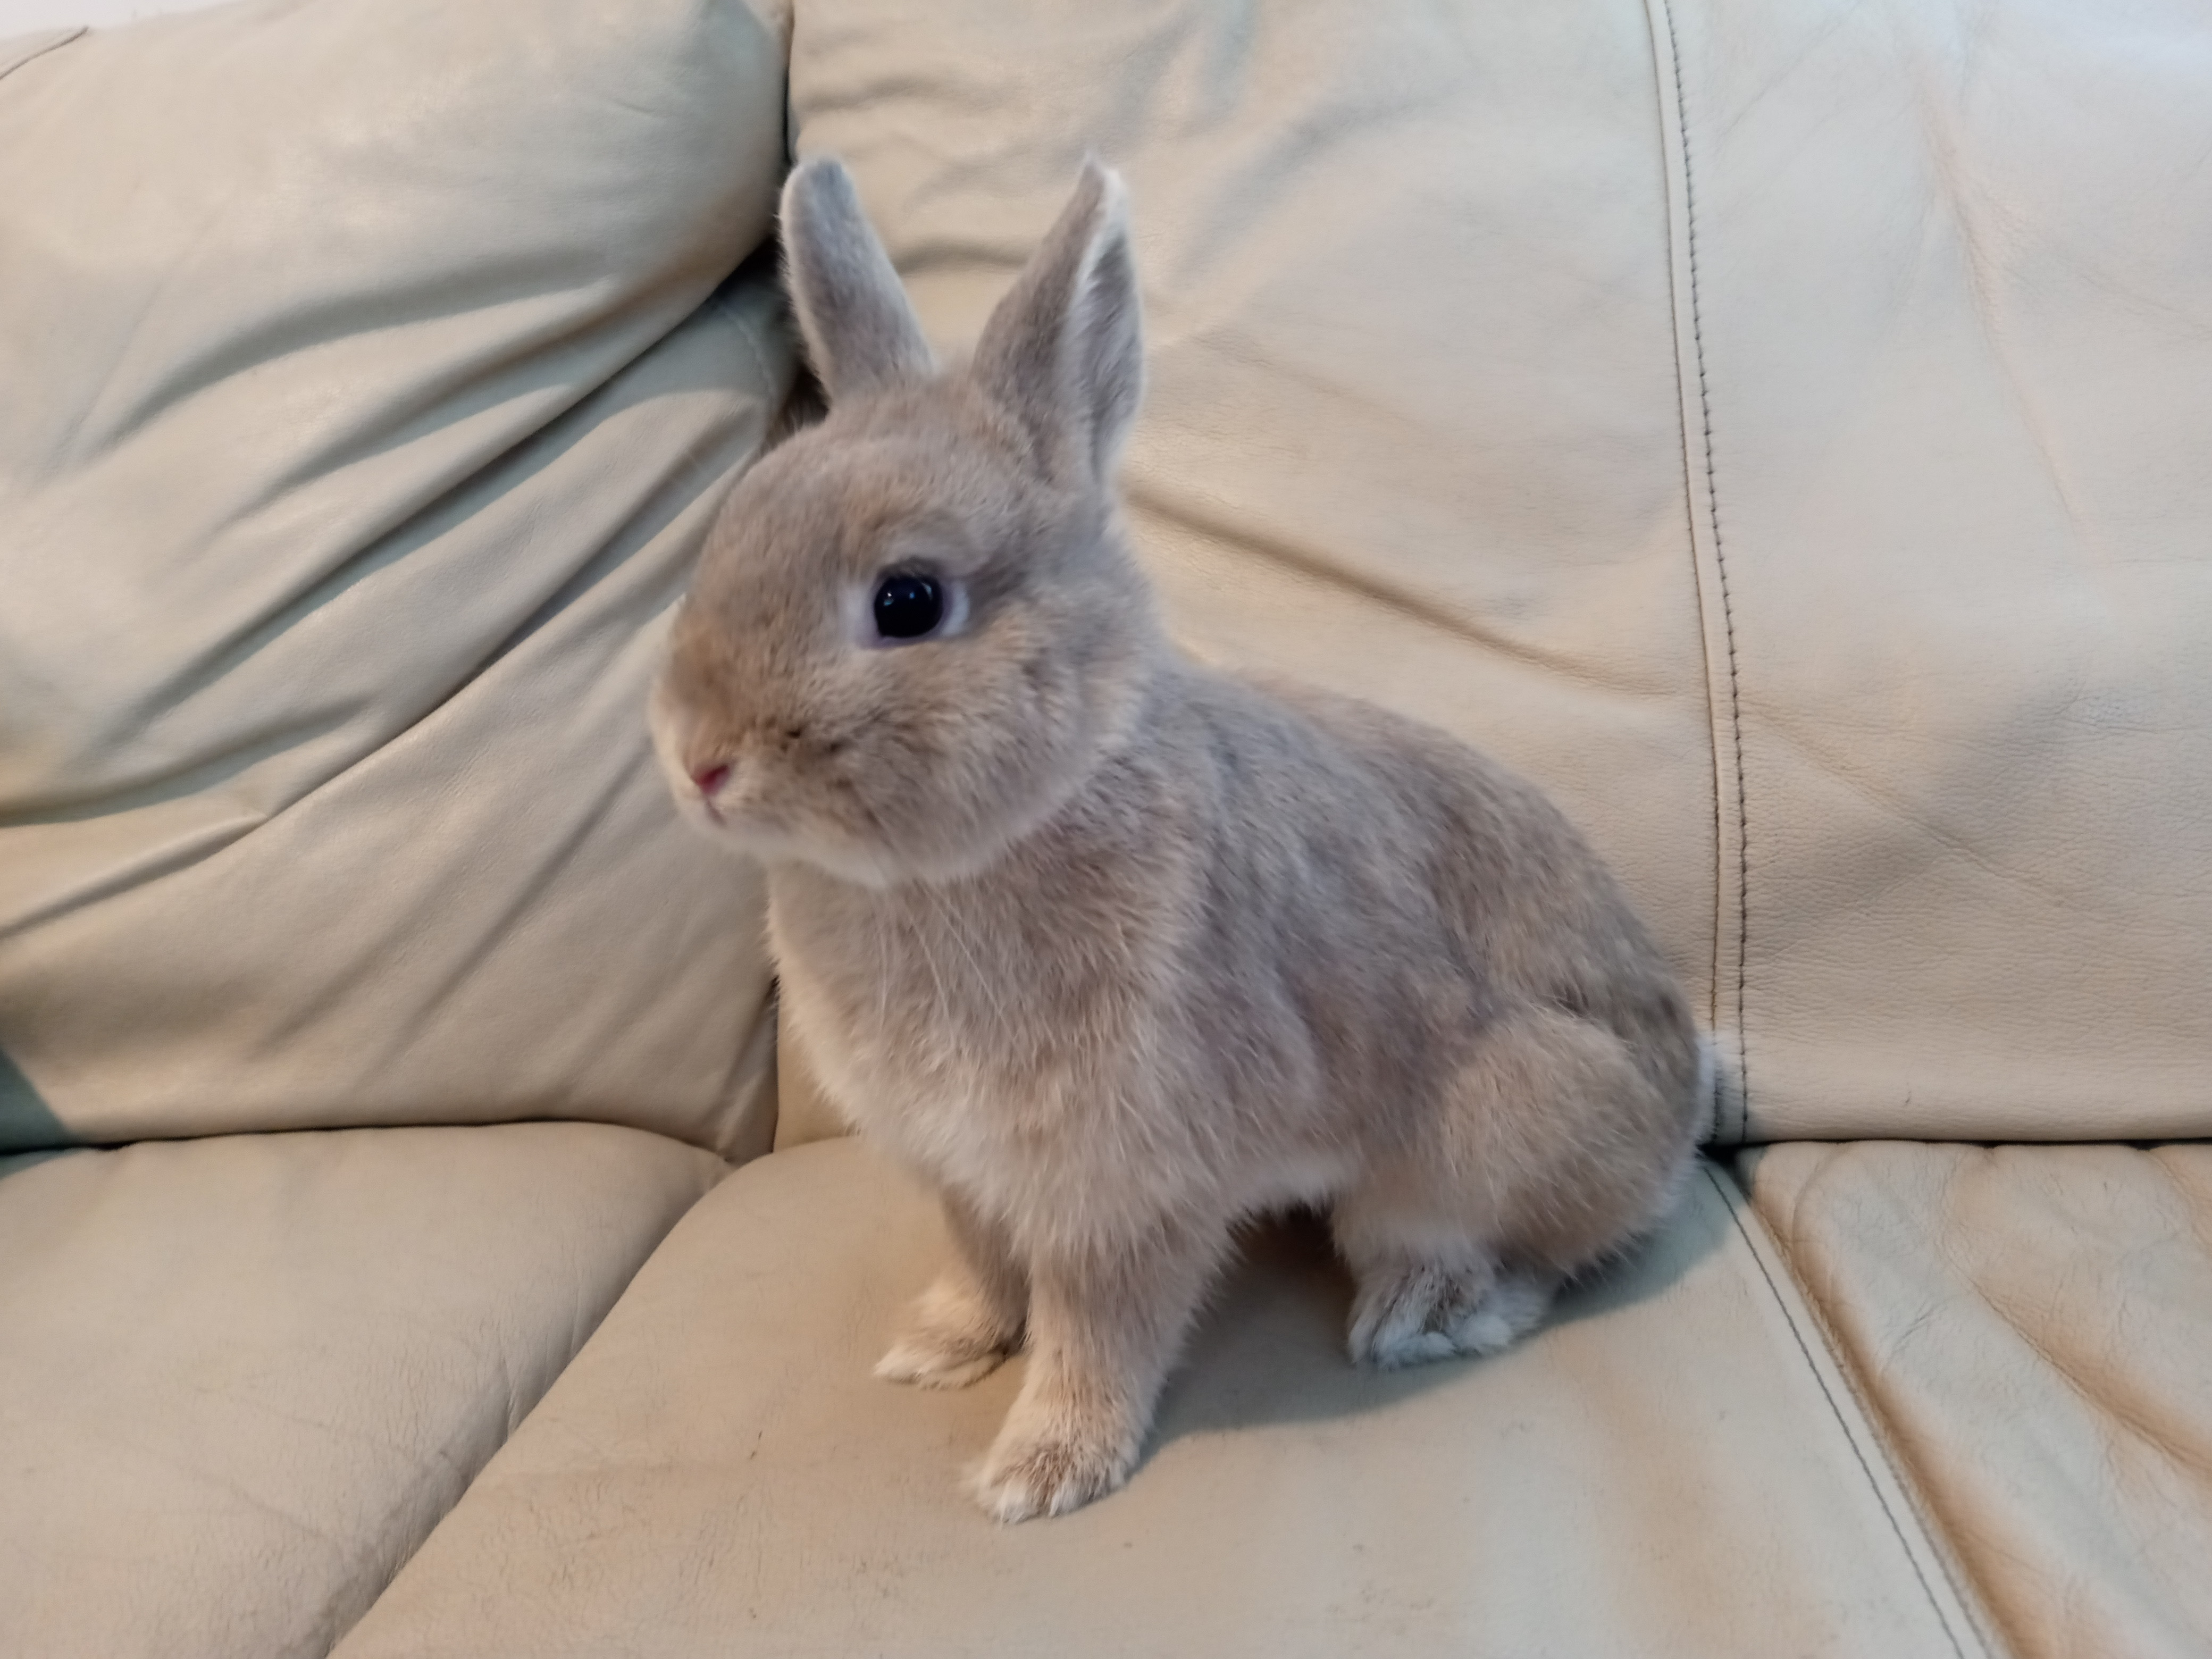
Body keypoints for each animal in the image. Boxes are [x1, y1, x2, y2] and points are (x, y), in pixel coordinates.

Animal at [646, 159, 1698, 1530]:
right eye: (729, 533)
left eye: (909, 600)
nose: (699, 759)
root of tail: (1682, 1110)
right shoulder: (962, 1172)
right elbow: (982, 1268)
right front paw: (936, 1348)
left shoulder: (1127, 1191)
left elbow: (1099, 1331)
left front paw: (1041, 1472)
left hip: (1481, 1137)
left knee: (1530, 1258)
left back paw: (1420, 1316)